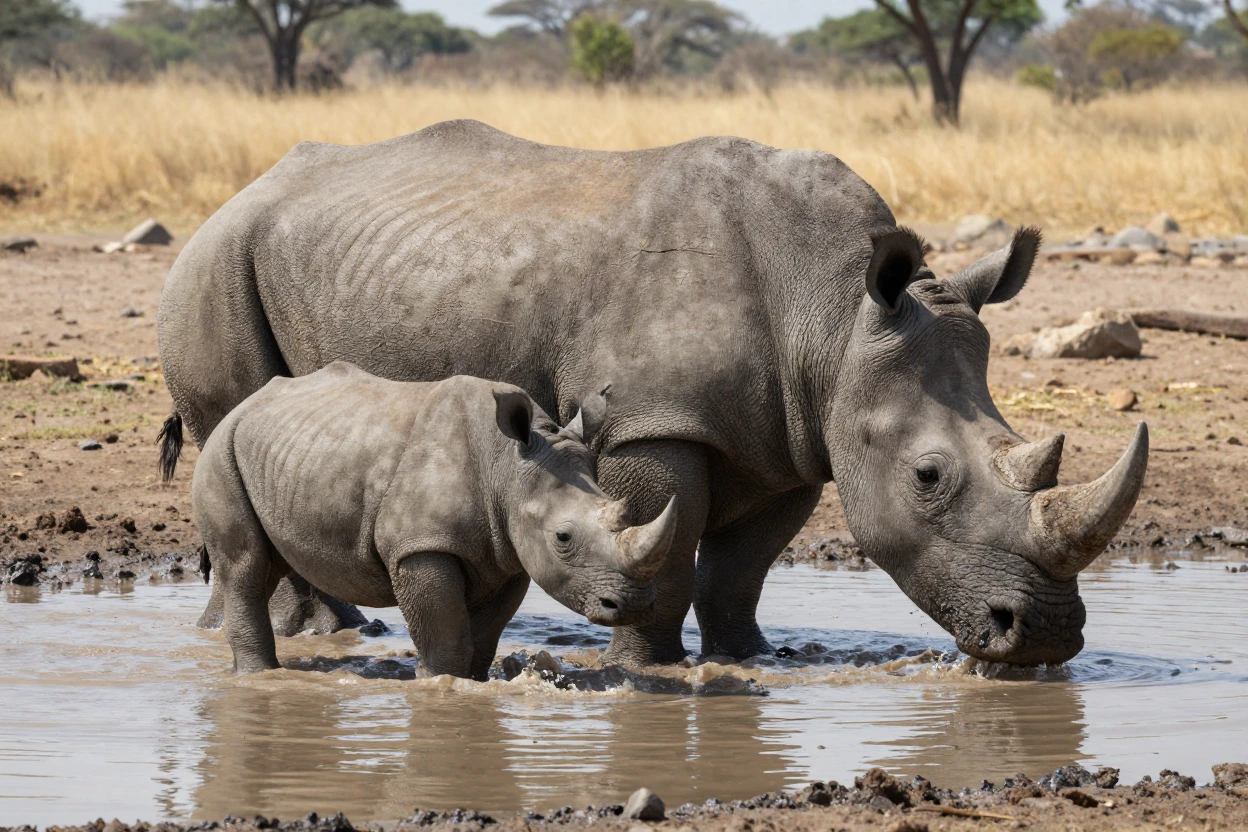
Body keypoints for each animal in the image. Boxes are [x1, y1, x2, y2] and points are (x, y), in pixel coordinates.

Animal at [192, 362, 677, 679]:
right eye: (563, 537)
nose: (633, 605)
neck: (507, 468)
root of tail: (246, 404)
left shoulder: (507, 553)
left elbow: (482, 639)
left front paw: (472, 683)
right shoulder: (420, 546)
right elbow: (447, 640)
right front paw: (438, 685)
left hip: (286, 451)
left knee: (268, 564)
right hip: (222, 448)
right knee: (245, 566)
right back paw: (260, 678)